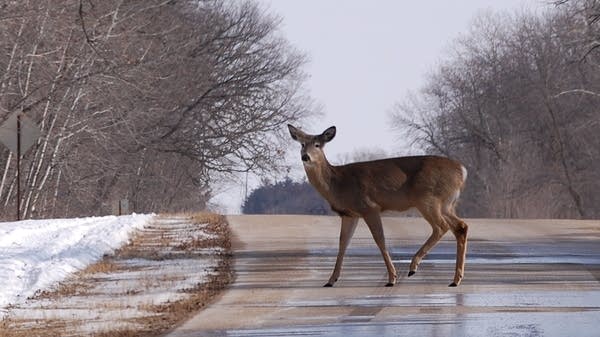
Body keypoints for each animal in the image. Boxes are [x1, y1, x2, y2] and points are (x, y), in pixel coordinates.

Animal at [288, 123, 468, 286]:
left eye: (317, 145)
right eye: (302, 144)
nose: (305, 156)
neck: (337, 183)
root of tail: (462, 170)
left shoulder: (369, 207)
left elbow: (379, 239)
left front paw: (392, 278)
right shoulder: (350, 214)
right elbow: (343, 243)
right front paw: (331, 280)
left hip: (428, 199)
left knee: (441, 227)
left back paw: (413, 267)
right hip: (446, 204)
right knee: (460, 227)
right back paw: (455, 280)